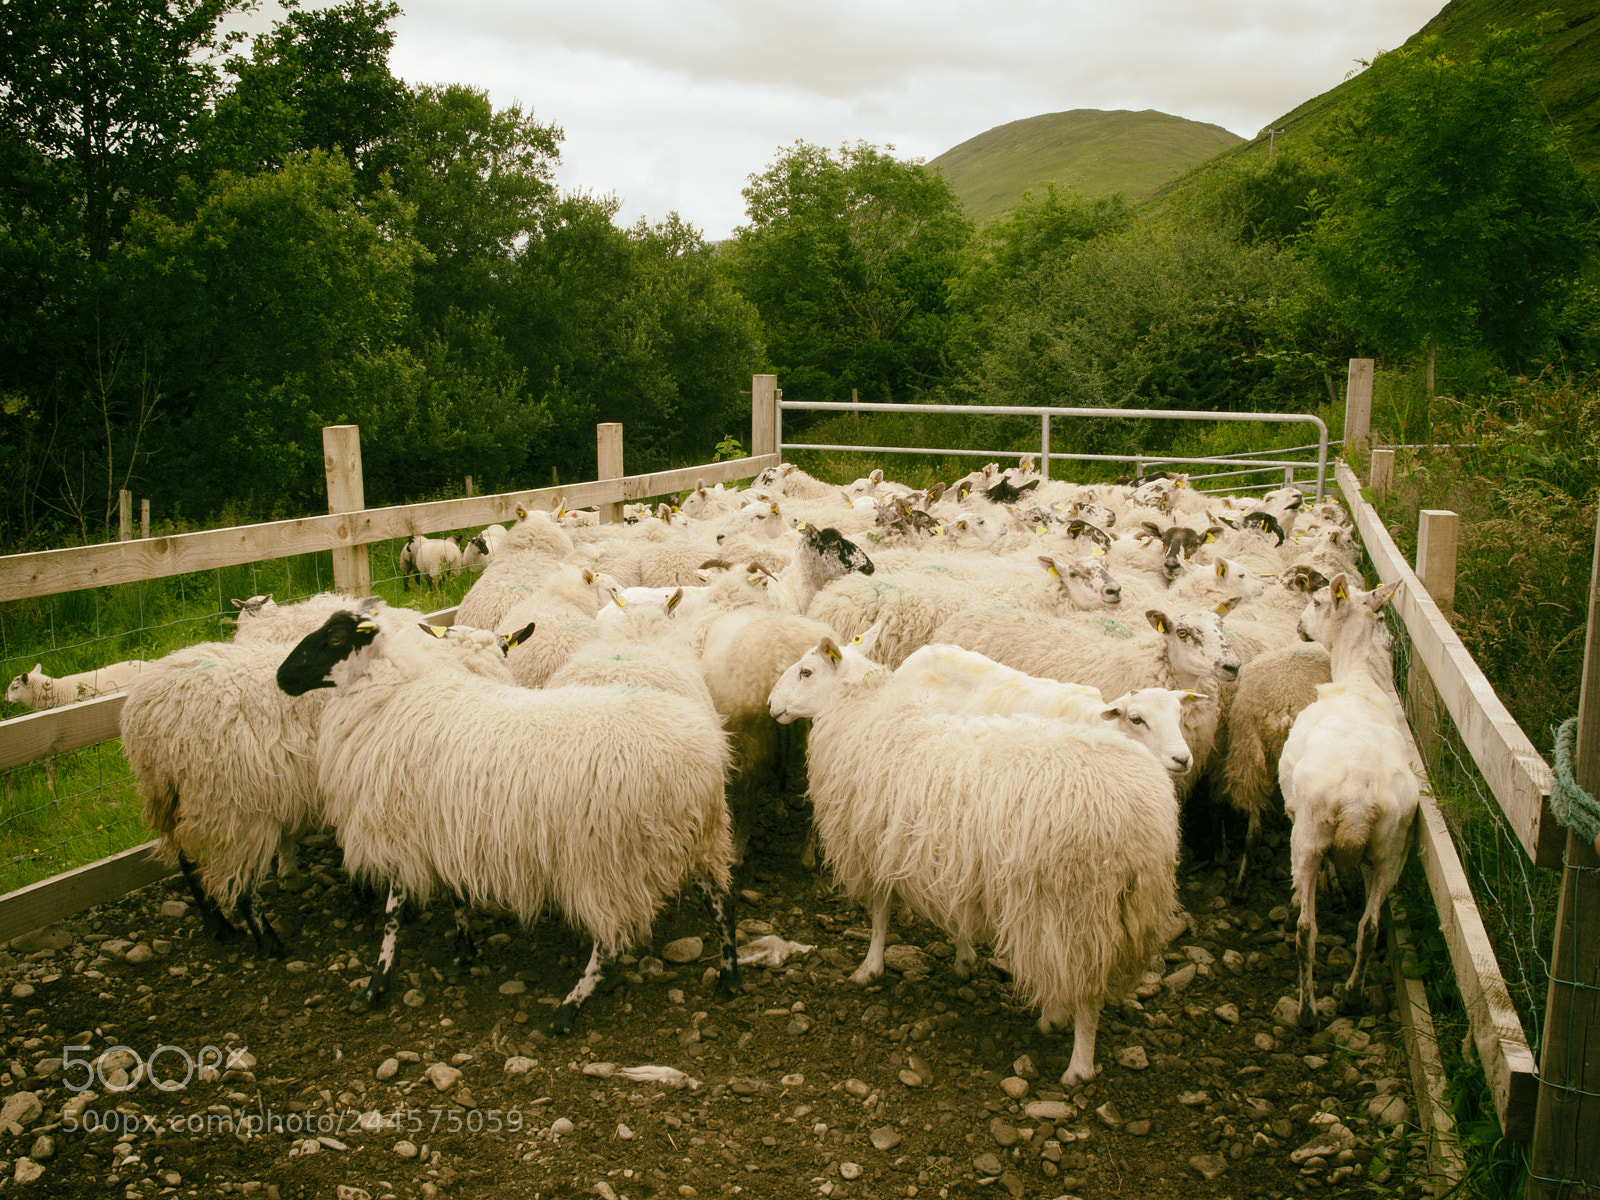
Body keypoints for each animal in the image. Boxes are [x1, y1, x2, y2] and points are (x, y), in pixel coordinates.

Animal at [275, 607, 739, 1031]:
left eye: (336, 639)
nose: (282, 678)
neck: (393, 693)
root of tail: (704, 757)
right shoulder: (447, 826)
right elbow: (456, 894)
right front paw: (464, 950)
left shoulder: (401, 831)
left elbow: (392, 915)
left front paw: (376, 985)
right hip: (691, 839)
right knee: (721, 901)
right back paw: (729, 978)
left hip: (611, 859)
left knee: (608, 942)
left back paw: (566, 1010)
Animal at [768, 638, 1180, 1087]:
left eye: (806, 672)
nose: (770, 704)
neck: (866, 707)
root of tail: (1144, 820)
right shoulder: (944, 859)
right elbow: (954, 914)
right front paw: (963, 960)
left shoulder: (874, 846)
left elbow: (879, 914)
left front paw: (869, 968)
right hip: (1118, 907)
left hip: (1077, 905)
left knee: (1084, 989)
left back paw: (1077, 1063)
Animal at [1279, 574, 1416, 1027]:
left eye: (1319, 601)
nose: (1299, 627)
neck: (1356, 678)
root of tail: (1358, 797)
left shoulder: (1297, 817)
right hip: (1391, 851)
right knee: (1369, 928)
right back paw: (1353, 994)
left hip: (1309, 835)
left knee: (1307, 931)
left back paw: (1307, 1012)